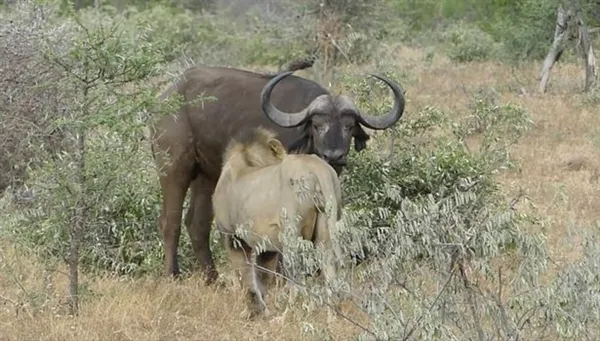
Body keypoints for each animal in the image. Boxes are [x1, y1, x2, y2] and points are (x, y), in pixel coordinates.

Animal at [148, 62, 406, 282]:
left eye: (349, 126)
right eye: (317, 125)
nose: (334, 156)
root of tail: (166, 98)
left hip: (206, 176)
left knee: (197, 224)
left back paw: (213, 279)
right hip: (174, 168)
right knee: (170, 222)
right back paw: (173, 275)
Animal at [211, 126, 342, 318]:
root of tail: (318, 168)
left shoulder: (232, 237)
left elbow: (246, 277)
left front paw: (251, 312)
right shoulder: (267, 248)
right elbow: (262, 279)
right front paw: (262, 311)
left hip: (291, 234)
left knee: (296, 276)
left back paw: (287, 314)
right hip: (324, 231)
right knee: (330, 271)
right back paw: (332, 317)